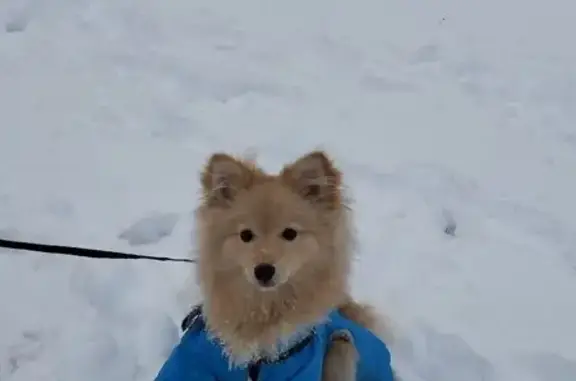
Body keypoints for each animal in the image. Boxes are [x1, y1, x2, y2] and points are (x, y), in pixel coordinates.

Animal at [154, 150, 396, 378]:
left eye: (290, 233)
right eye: (245, 235)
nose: (263, 271)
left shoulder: (303, 368)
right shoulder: (195, 361)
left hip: (342, 346)